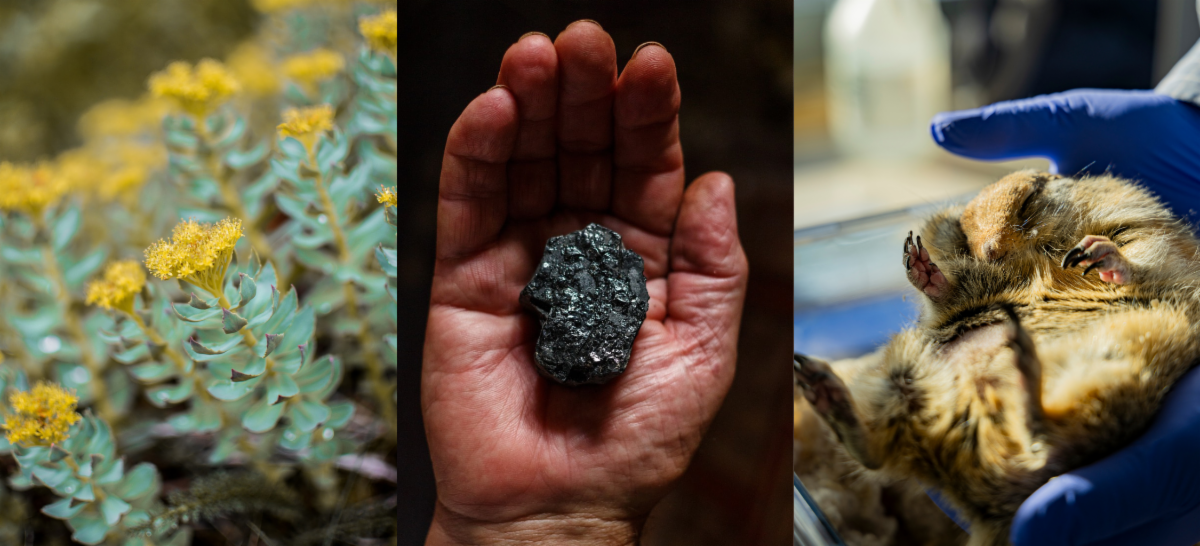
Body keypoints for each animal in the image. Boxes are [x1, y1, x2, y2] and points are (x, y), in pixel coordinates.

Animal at [795, 171, 1200, 546]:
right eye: (963, 233)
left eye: (1029, 200)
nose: (989, 252)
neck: (1048, 252)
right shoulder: (972, 289)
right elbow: (948, 296)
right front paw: (921, 265)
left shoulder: (1146, 232)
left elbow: (1142, 258)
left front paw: (1099, 253)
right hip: (902, 382)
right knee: (878, 452)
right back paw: (823, 388)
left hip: (1116, 388)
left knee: (1050, 446)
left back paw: (1023, 369)